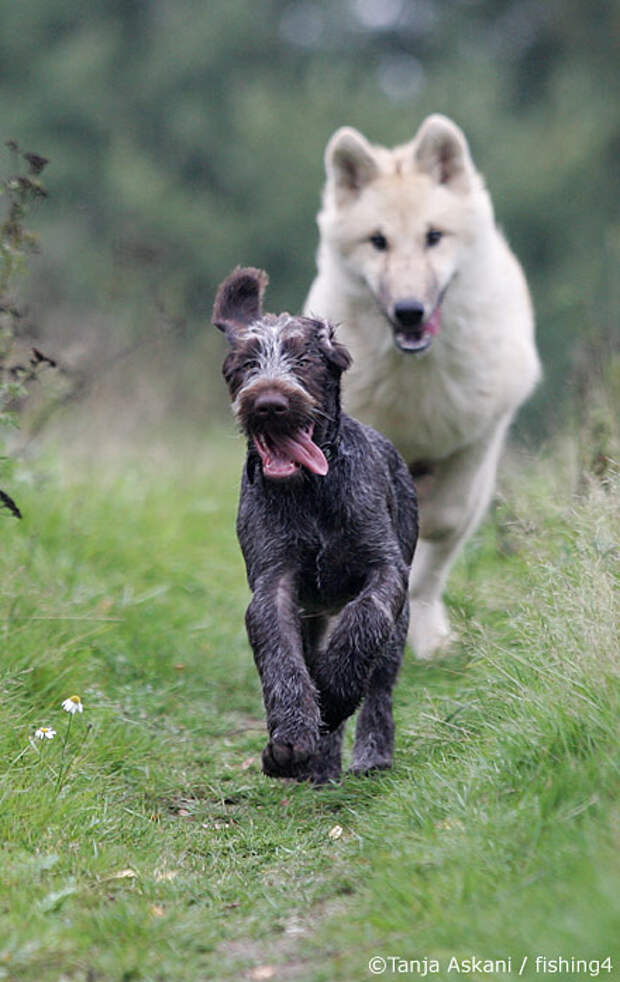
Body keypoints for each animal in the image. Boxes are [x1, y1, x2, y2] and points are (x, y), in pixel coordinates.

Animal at [211, 268, 418, 784]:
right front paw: (291, 741)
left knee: (380, 685)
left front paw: (335, 690)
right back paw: (321, 765)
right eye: (246, 364)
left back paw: (372, 754)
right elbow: (283, 661)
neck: (310, 491)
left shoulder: (386, 572)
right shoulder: (275, 584)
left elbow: (364, 624)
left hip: (400, 621)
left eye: (303, 360)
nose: (268, 403)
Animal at [306, 115, 536, 656]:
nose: (409, 311)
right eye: (378, 241)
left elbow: (441, 525)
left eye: (434, 236)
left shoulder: (477, 439)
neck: (416, 373)